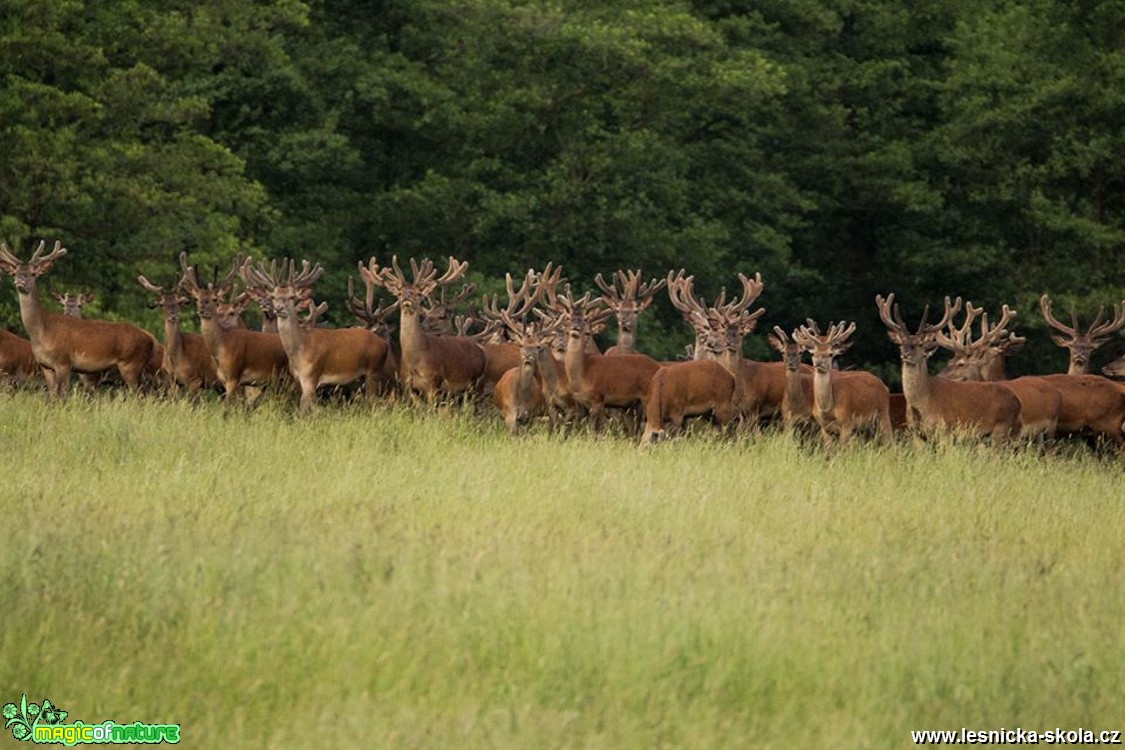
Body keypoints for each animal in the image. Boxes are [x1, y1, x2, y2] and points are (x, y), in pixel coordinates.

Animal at [0, 240, 158, 398]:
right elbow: (52, 396)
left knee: (140, 395)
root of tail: (151, 339)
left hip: (130, 364)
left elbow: (63, 395)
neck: (41, 330)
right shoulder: (45, 366)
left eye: (33, 274)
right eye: (14, 273)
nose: (19, 280)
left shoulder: (63, 362)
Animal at [176, 251, 288, 404]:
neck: (223, 345)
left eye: (214, 299)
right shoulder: (224, 380)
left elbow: (228, 406)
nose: (202, 309)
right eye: (197, 298)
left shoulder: (234, 375)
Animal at [239, 256, 389, 411]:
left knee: (375, 401)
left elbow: (305, 408)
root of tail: (384, 344)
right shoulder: (298, 379)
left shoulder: (311, 376)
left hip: (374, 370)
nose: (279, 308)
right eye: (274, 296)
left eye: (292, 297)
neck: (301, 350)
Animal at [362, 255, 486, 402]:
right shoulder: (408, 386)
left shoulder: (433, 383)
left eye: (418, 293)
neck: (414, 360)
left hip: (475, 384)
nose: (407, 297)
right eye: (399, 293)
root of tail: (480, 349)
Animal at [873, 292, 1026, 443]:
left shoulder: (946, 429)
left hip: (1001, 429)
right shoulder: (916, 434)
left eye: (920, 344)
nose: (905, 353)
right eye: (901, 344)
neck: (924, 401)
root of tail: (1017, 402)